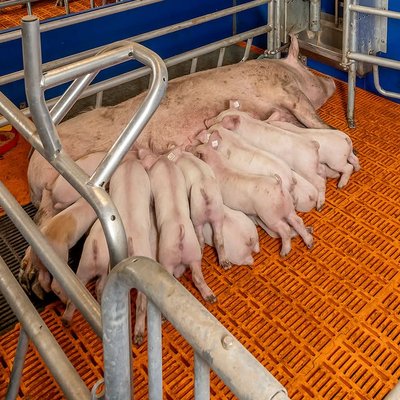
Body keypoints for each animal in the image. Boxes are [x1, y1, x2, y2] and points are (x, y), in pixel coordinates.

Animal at [140, 151, 216, 303]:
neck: (164, 162)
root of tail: (180, 232)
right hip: (193, 252)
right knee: (197, 277)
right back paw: (211, 297)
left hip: (166, 257)